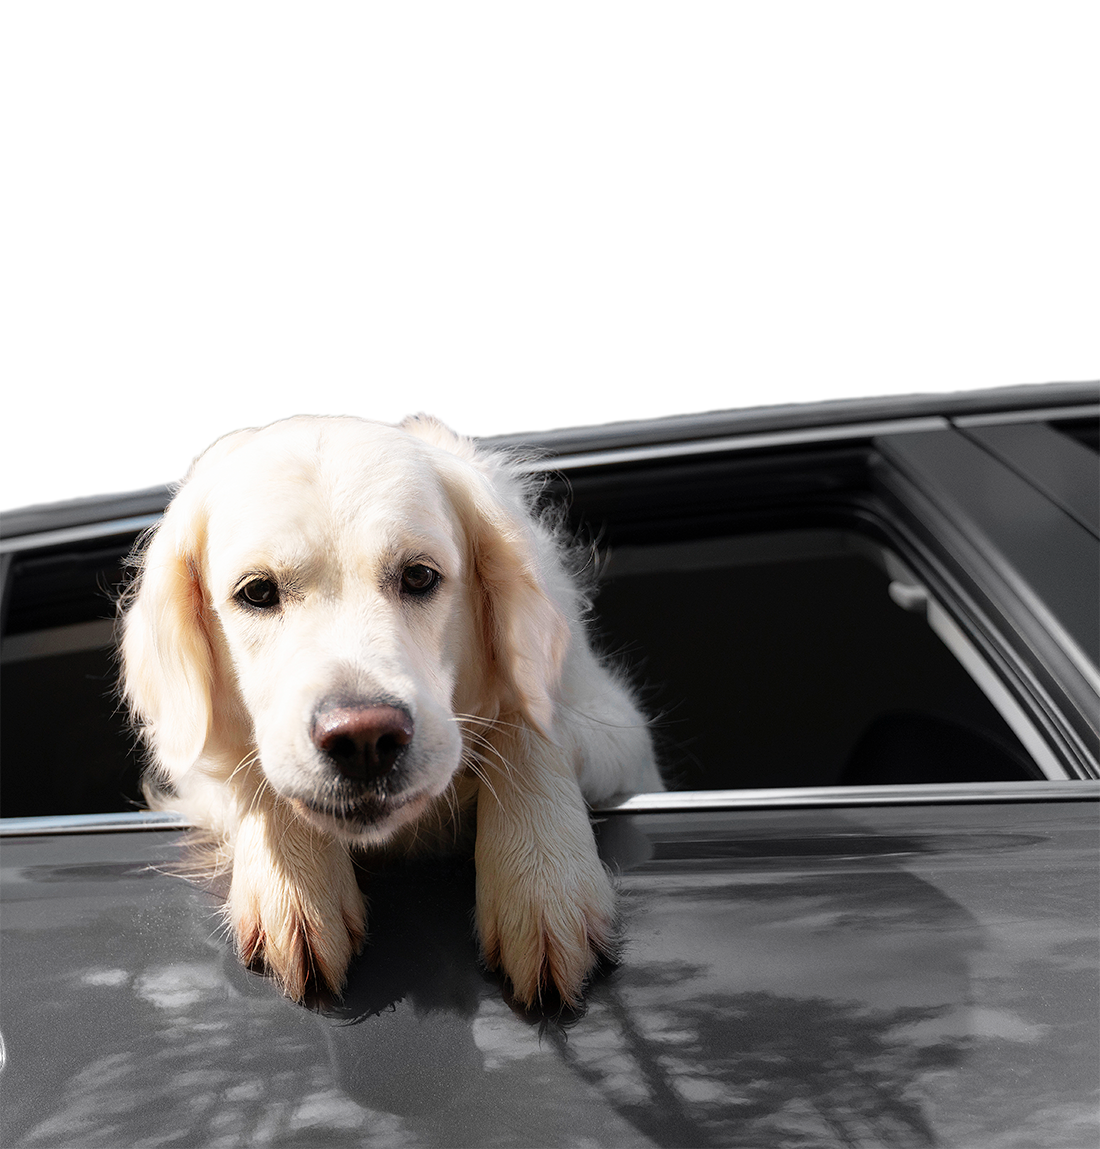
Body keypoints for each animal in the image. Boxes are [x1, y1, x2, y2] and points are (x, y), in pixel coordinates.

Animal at [120, 413, 657, 1006]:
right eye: (257, 592)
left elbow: (528, 723)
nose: (364, 740)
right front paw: (299, 880)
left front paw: (542, 880)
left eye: (419, 576)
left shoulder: (617, 724)